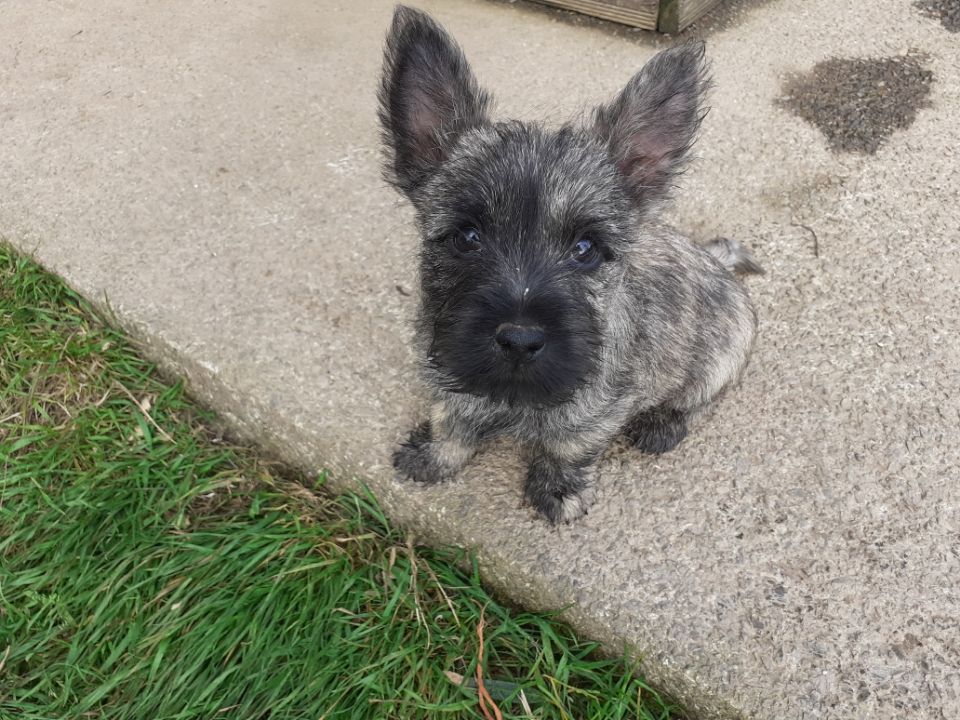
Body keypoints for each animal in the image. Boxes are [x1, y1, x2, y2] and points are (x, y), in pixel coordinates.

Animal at [378, 4, 760, 524]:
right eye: (466, 237)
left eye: (586, 248)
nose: (520, 341)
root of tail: (714, 259)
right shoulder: (448, 377)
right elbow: (450, 420)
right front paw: (435, 458)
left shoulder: (597, 414)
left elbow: (567, 447)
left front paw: (557, 491)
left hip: (722, 356)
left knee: (700, 398)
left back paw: (662, 424)